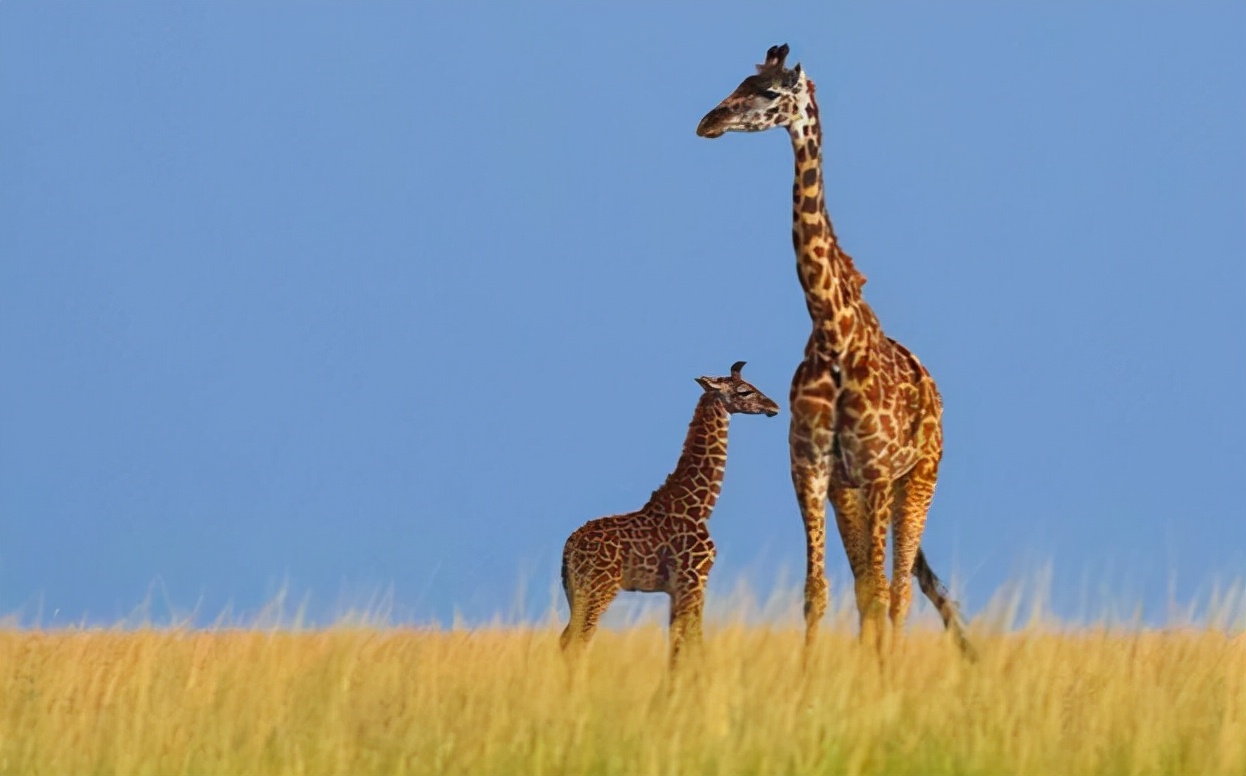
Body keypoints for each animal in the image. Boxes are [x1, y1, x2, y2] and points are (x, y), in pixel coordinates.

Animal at [563, 361, 777, 672]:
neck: (700, 506)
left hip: (576, 592)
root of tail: (568, 549)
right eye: (744, 390)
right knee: (579, 642)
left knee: (566, 640)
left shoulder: (677, 589)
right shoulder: (694, 580)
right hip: (598, 589)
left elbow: (675, 648)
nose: (774, 407)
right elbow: (694, 644)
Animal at [697, 45, 976, 657]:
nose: (709, 121)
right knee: (871, 587)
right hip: (854, 491)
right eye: (740, 80)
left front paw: (880, 679)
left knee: (898, 590)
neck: (833, 331)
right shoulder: (812, 469)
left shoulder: (876, 472)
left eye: (770, 92)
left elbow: (882, 590)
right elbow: (819, 591)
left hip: (918, 478)